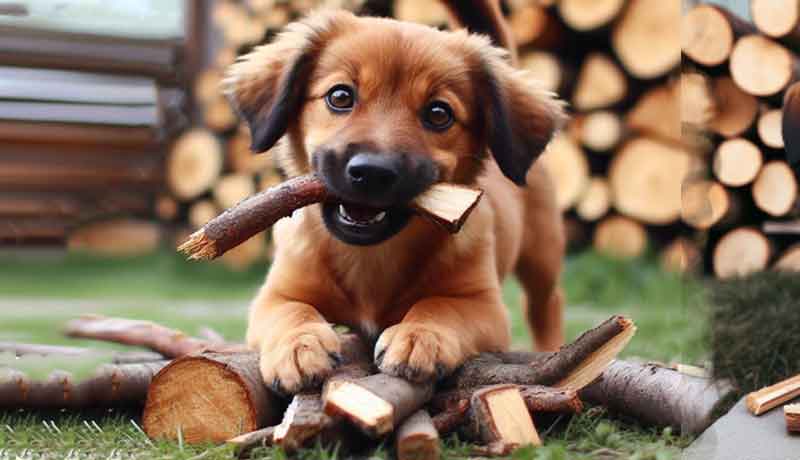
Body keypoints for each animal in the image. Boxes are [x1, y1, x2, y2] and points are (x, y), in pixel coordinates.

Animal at [222, 1, 564, 394]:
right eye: (340, 96)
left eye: (439, 113)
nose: (372, 172)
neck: (373, 255)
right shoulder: (276, 293)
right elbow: (291, 311)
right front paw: (299, 346)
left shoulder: (483, 305)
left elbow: (440, 306)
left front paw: (421, 336)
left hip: (542, 257)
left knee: (546, 303)